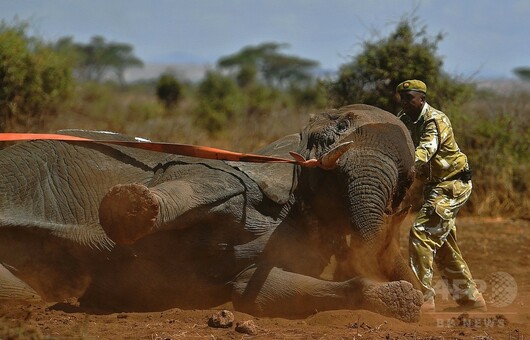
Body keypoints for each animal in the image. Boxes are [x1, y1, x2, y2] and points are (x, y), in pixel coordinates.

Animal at [0, 103, 420, 322]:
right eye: (341, 124)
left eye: (406, 180)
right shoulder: (235, 173)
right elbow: (192, 182)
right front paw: (131, 206)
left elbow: (256, 292)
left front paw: (407, 302)